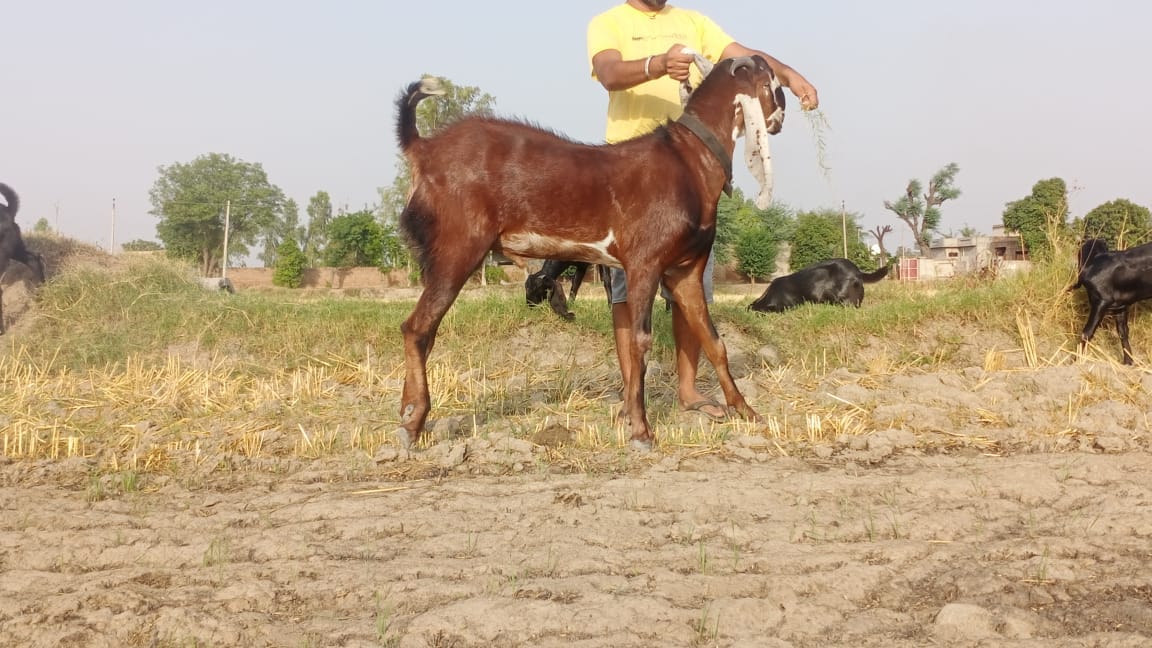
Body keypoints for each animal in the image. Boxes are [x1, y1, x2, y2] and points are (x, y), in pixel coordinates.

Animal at [394, 55, 785, 450]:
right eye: (773, 83)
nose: (779, 119)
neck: (689, 159)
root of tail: (424, 149)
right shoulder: (643, 264)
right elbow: (639, 343)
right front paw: (641, 430)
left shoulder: (685, 271)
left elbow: (713, 340)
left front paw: (746, 411)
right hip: (458, 247)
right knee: (416, 328)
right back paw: (413, 423)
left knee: (425, 330)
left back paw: (409, 412)